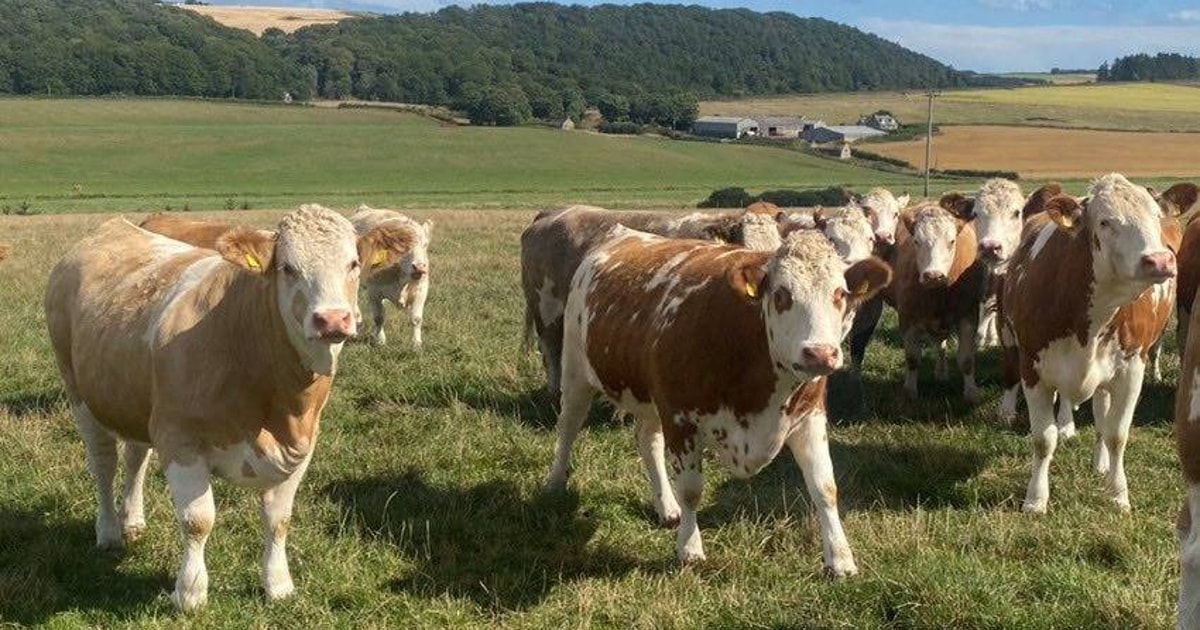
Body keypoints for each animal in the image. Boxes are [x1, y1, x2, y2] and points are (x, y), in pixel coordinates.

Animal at [45, 205, 412, 610]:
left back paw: (133, 521)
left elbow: (278, 519)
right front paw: (190, 592)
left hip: (131, 397)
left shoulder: (303, 444)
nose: (332, 319)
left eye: (353, 263)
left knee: (135, 457)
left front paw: (278, 584)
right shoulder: (179, 437)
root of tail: (114, 227)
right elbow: (197, 520)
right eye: (287, 267)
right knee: (104, 464)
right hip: (80, 393)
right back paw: (109, 531)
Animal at [349, 206, 435, 348]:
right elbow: (379, 318)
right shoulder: (374, 292)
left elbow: (416, 319)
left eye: (425, 244)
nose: (419, 267)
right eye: (403, 246)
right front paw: (380, 340)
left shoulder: (421, 290)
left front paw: (416, 344)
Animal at [544, 228, 891, 574]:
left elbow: (824, 487)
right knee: (568, 427)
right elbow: (691, 489)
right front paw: (689, 547)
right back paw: (556, 482)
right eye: (781, 295)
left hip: (650, 397)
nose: (820, 353)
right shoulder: (680, 417)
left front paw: (840, 558)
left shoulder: (809, 417)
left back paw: (666, 507)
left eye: (840, 294)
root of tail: (624, 233)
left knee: (648, 441)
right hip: (576, 371)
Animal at [889, 202, 986, 401]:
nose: (933, 275)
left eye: (952, 241)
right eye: (916, 241)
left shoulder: (968, 314)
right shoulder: (906, 316)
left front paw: (971, 392)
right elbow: (912, 359)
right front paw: (909, 391)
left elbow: (966, 359)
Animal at [998, 174, 1178, 514]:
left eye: (1156, 216)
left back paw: (1101, 464)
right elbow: (1043, 439)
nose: (1160, 260)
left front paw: (1118, 494)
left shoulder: (1131, 370)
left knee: (1101, 417)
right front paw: (1036, 499)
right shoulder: (1032, 368)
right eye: (1105, 222)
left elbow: (1116, 434)